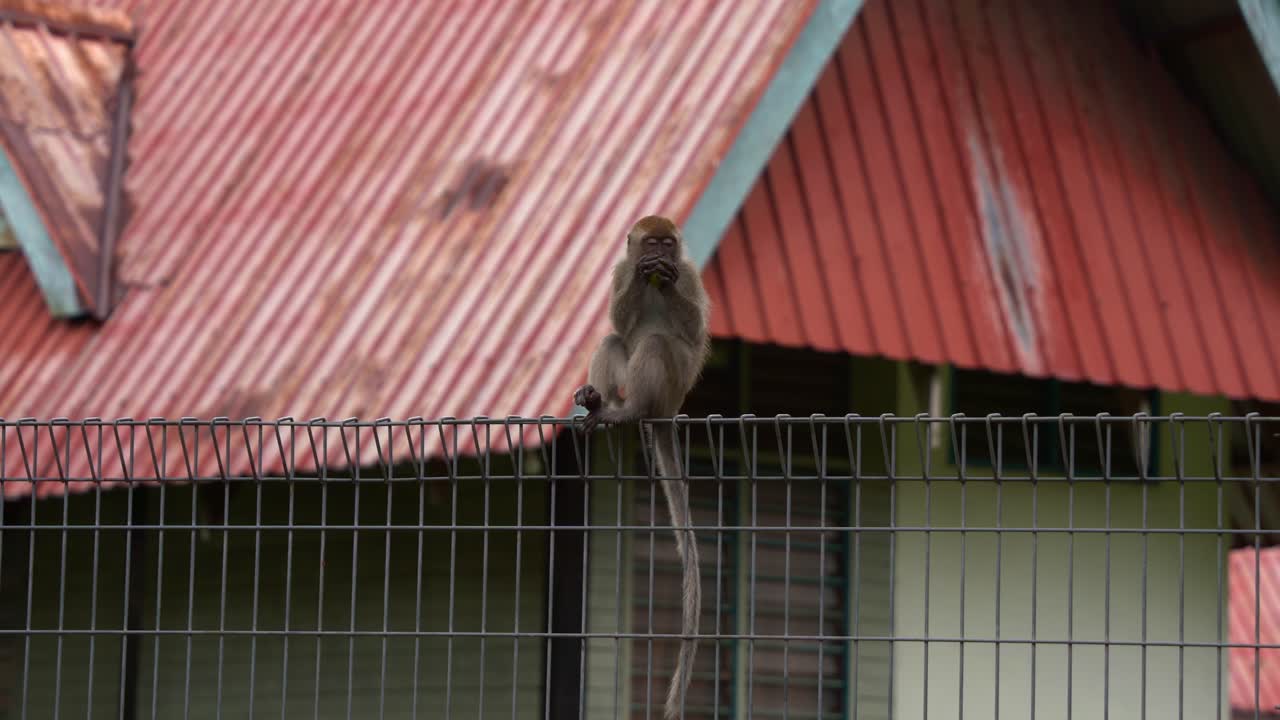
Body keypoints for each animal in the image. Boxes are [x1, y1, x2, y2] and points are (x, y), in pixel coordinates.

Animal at [573, 215, 710, 720]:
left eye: (669, 245)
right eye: (651, 244)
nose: (660, 258)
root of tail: (667, 409)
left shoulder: (689, 275)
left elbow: (693, 330)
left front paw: (665, 284)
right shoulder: (618, 271)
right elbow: (617, 319)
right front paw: (640, 278)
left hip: (672, 383)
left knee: (656, 343)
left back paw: (628, 412)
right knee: (616, 340)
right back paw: (601, 404)